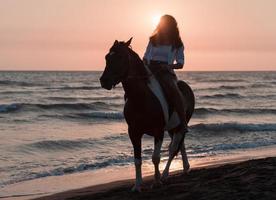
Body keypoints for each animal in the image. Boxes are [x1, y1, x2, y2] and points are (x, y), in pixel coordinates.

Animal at [100, 37, 195, 192]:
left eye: (120, 57)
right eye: (107, 57)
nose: (104, 81)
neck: (142, 98)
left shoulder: (158, 131)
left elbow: (155, 157)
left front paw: (156, 181)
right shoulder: (134, 132)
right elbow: (137, 160)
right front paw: (137, 185)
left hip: (180, 125)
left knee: (173, 149)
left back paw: (165, 175)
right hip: (172, 128)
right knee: (181, 146)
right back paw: (185, 168)